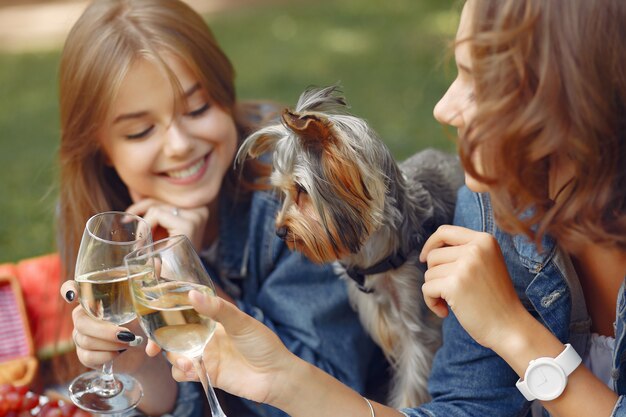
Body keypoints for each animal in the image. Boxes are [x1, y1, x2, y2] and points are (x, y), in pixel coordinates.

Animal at [238, 84, 464, 406]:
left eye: (301, 190)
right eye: (282, 191)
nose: (280, 231)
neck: (378, 252)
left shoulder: (418, 330)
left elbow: (412, 385)